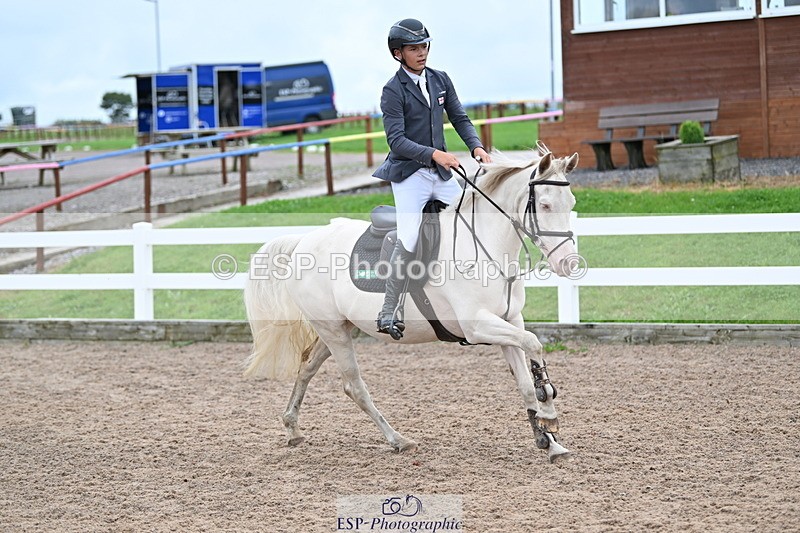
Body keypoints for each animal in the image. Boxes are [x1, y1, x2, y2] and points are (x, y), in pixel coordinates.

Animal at [243, 147, 582, 463]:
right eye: (545, 205)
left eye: (571, 204)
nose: (569, 264)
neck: (485, 245)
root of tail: (303, 241)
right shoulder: (478, 325)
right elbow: (534, 344)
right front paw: (549, 413)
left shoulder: (509, 320)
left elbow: (524, 381)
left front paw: (549, 440)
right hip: (334, 332)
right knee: (355, 387)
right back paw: (398, 439)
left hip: (338, 329)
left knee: (306, 368)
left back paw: (292, 428)